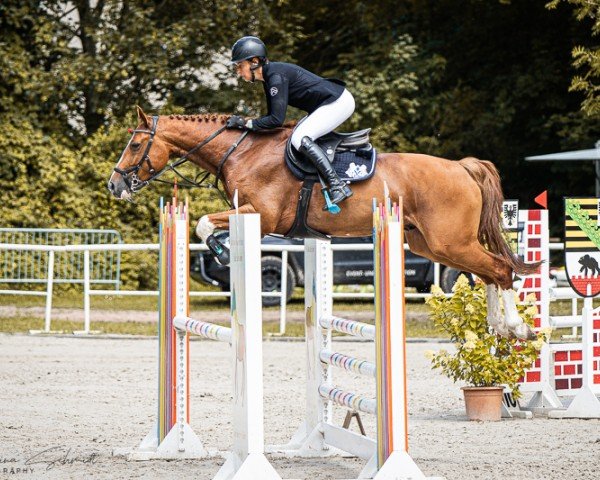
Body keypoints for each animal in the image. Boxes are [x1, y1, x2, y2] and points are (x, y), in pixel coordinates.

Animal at [108, 107, 540, 340]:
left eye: (135, 144)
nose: (115, 184)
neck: (241, 151)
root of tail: (463, 167)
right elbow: (204, 223)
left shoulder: (261, 214)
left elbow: (201, 223)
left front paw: (222, 250)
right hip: (431, 244)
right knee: (487, 273)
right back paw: (498, 327)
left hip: (451, 242)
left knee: (500, 269)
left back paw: (516, 328)